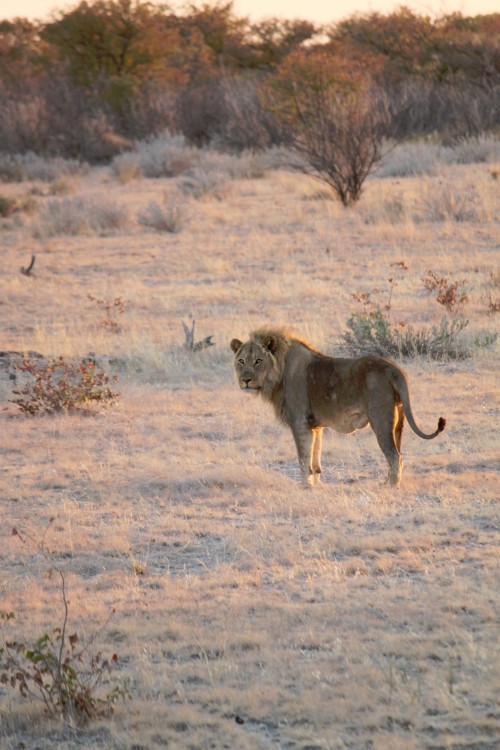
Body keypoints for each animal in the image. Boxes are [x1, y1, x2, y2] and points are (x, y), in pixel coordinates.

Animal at [230, 328, 446, 488]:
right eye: (241, 361)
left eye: (258, 361)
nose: (245, 380)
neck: (278, 375)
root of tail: (395, 368)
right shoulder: (314, 425)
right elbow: (315, 457)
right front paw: (316, 483)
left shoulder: (300, 422)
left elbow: (303, 458)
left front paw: (304, 487)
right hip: (399, 420)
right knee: (398, 454)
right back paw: (387, 481)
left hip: (381, 419)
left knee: (394, 456)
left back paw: (390, 487)